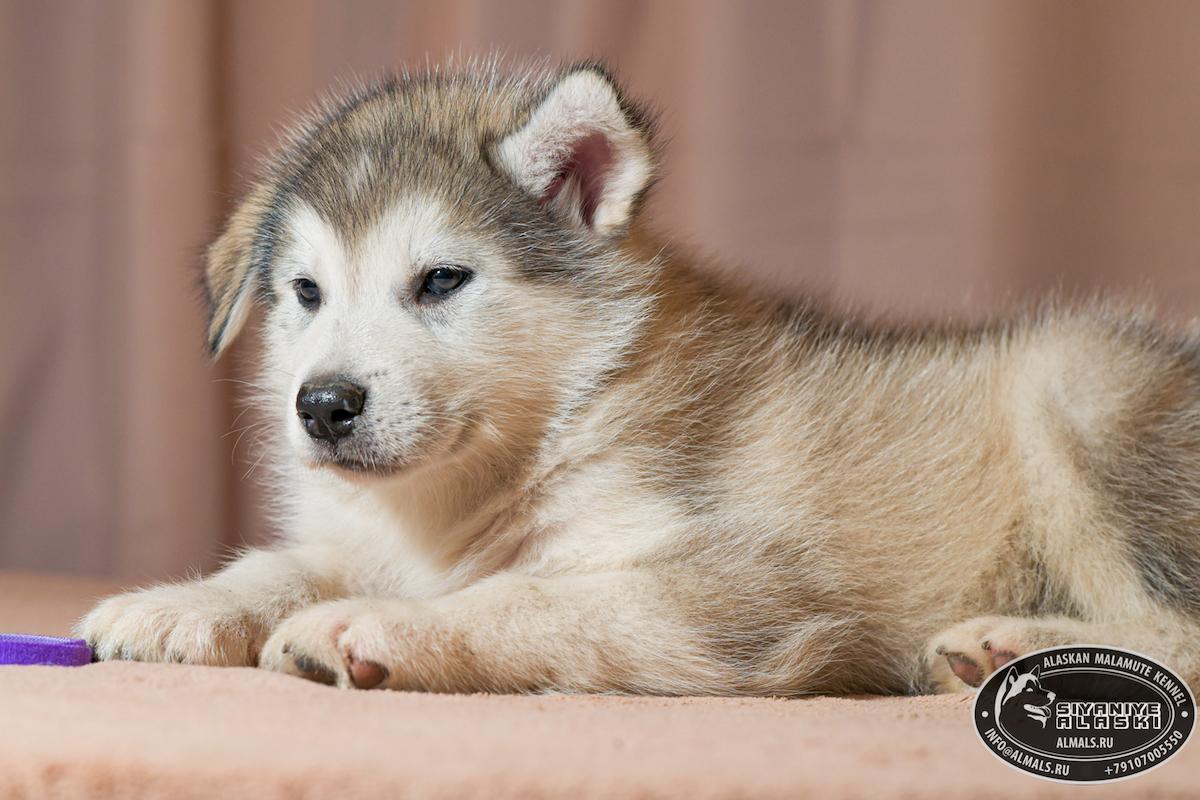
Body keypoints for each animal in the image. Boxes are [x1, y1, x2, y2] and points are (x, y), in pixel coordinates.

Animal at [79, 59, 1200, 695]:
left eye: (441, 279)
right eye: (306, 292)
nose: (322, 405)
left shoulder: (749, 586)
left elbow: (536, 597)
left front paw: (382, 626)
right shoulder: (368, 534)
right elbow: (283, 562)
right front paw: (178, 605)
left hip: (1081, 395)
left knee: (1176, 626)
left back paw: (1012, 644)